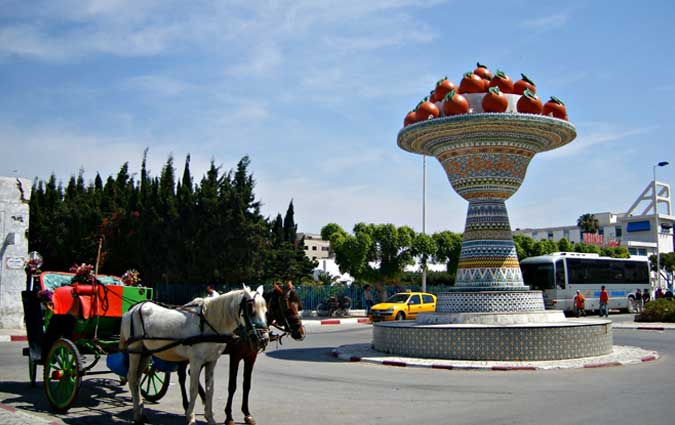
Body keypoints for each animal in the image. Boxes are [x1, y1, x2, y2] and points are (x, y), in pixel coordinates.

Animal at [120, 284, 268, 424]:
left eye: (266, 311)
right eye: (251, 309)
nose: (264, 339)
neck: (209, 323)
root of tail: (133, 309)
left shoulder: (211, 361)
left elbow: (210, 389)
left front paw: (210, 417)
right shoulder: (196, 361)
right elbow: (194, 389)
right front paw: (191, 417)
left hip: (145, 352)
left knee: (138, 378)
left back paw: (141, 411)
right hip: (135, 350)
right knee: (132, 378)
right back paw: (137, 415)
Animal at [176, 282, 304, 424]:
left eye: (298, 307)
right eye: (287, 308)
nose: (300, 333)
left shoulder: (251, 356)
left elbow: (246, 385)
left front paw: (247, 414)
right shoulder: (235, 356)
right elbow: (232, 385)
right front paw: (229, 416)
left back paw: (201, 401)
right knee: (182, 376)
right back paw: (187, 405)